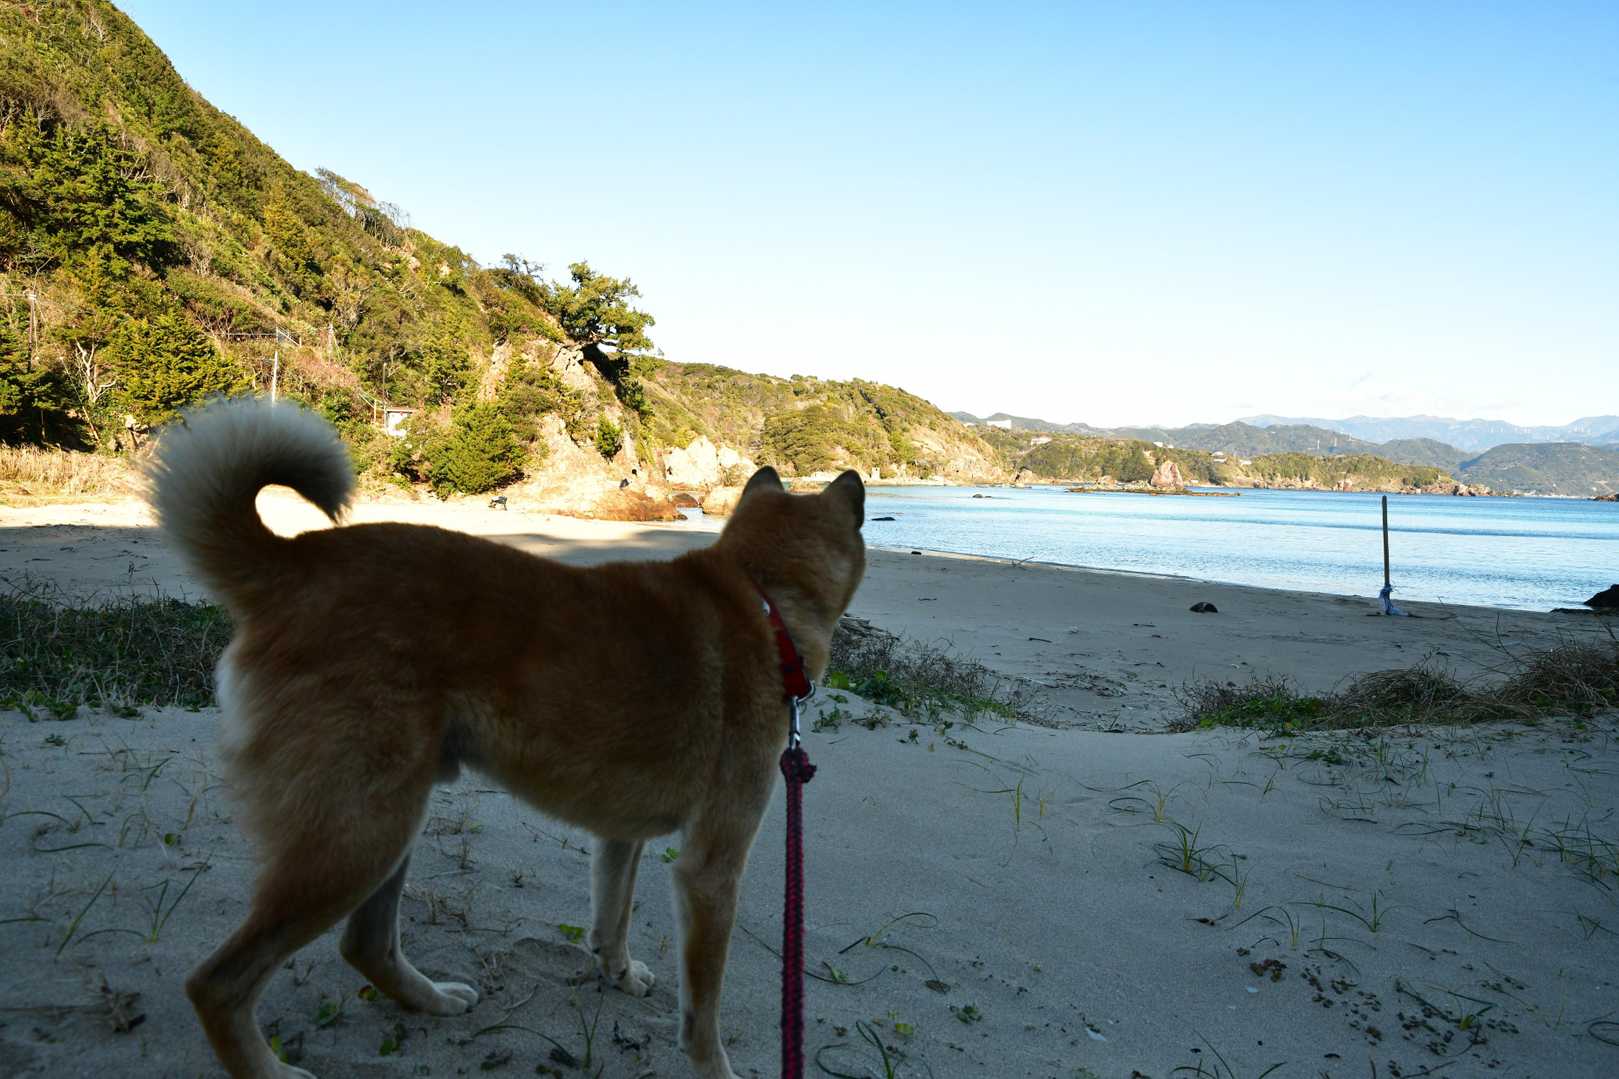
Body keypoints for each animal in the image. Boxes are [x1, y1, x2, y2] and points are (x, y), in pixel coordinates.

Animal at [144, 397, 866, 1079]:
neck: (763, 598)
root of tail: (293, 561)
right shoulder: (710, 870)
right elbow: (703, 1013)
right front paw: (714, 1066)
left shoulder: (620, 835)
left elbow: (612, 921)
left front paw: (619, 975)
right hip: (357, 836)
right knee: (218, 983)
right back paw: (268, 1066)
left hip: (386, 819)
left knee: (364, 945)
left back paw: (430, 999)